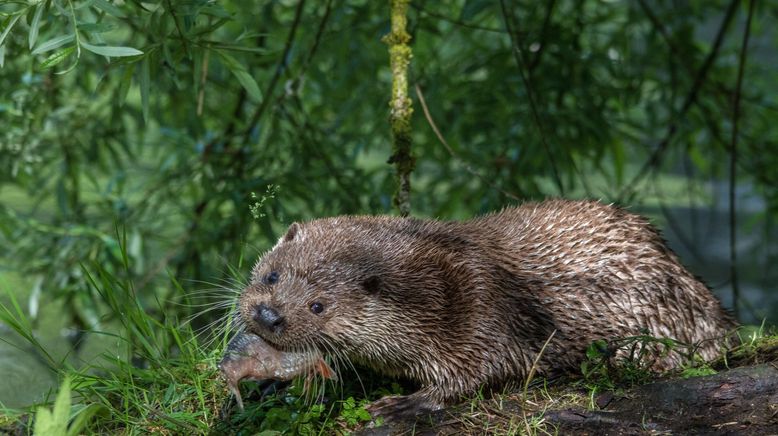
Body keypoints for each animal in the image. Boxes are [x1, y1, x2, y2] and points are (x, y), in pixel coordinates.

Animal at [233, 199, 736, 418]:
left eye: (318, 306)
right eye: (272, 275)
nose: (269, 316)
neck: (433, 289)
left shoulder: (482, 308)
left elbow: (482, 370)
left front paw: (408, 403)